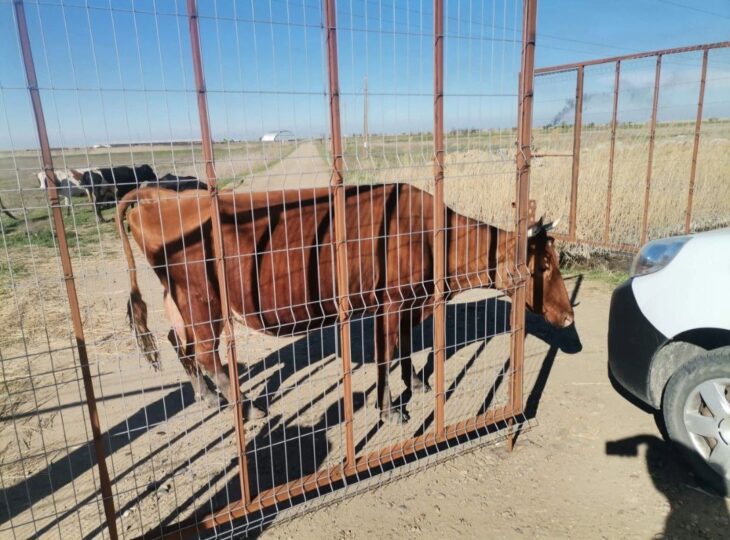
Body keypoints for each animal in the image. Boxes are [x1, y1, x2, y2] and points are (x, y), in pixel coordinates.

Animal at [116, 184, 572, 424]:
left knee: (180, 345)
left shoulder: (412, 303)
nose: (569, 317)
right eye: (544, 265)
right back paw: (248, 407)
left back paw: (209, 397)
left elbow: (405, 349)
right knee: (207, 354)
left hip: (178, 300)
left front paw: (417, 383)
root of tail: (160, 194)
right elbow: (386, 354)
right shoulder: (392, 303)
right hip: (202, 302)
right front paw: (389, 409)